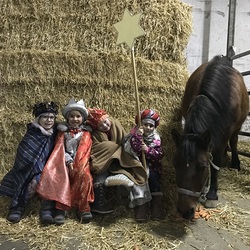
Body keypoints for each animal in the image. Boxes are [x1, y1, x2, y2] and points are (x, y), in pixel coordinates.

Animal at [171, 55, 249, 220]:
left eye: (202, 167)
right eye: (175, 164)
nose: (184, 211)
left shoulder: (224, 135)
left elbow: (216, 164)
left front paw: (212, 194)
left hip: (236, 129)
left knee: (234, 141)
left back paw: (235, 163)